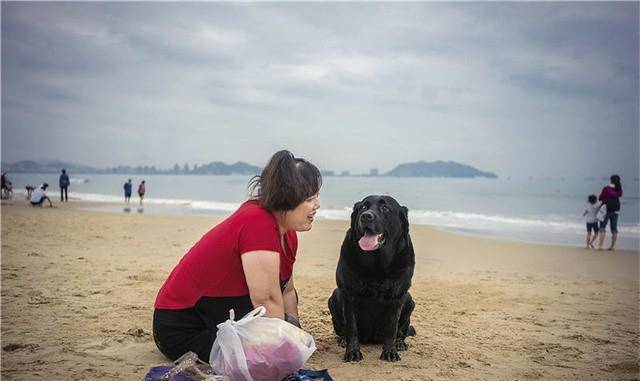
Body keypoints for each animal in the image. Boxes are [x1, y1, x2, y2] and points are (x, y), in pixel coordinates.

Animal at [330, 194, 416, 360]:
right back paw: (342, 339)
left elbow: (392, 327)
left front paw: (390, 352)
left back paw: (399, 343)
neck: (377, 264)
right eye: (363, 207)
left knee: (402, 331)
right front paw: (352, 352)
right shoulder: (348, 293)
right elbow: (352, 327)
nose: (366, 216)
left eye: (385, 208)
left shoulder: (398, 295)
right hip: (334, 297)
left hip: (409, 300)